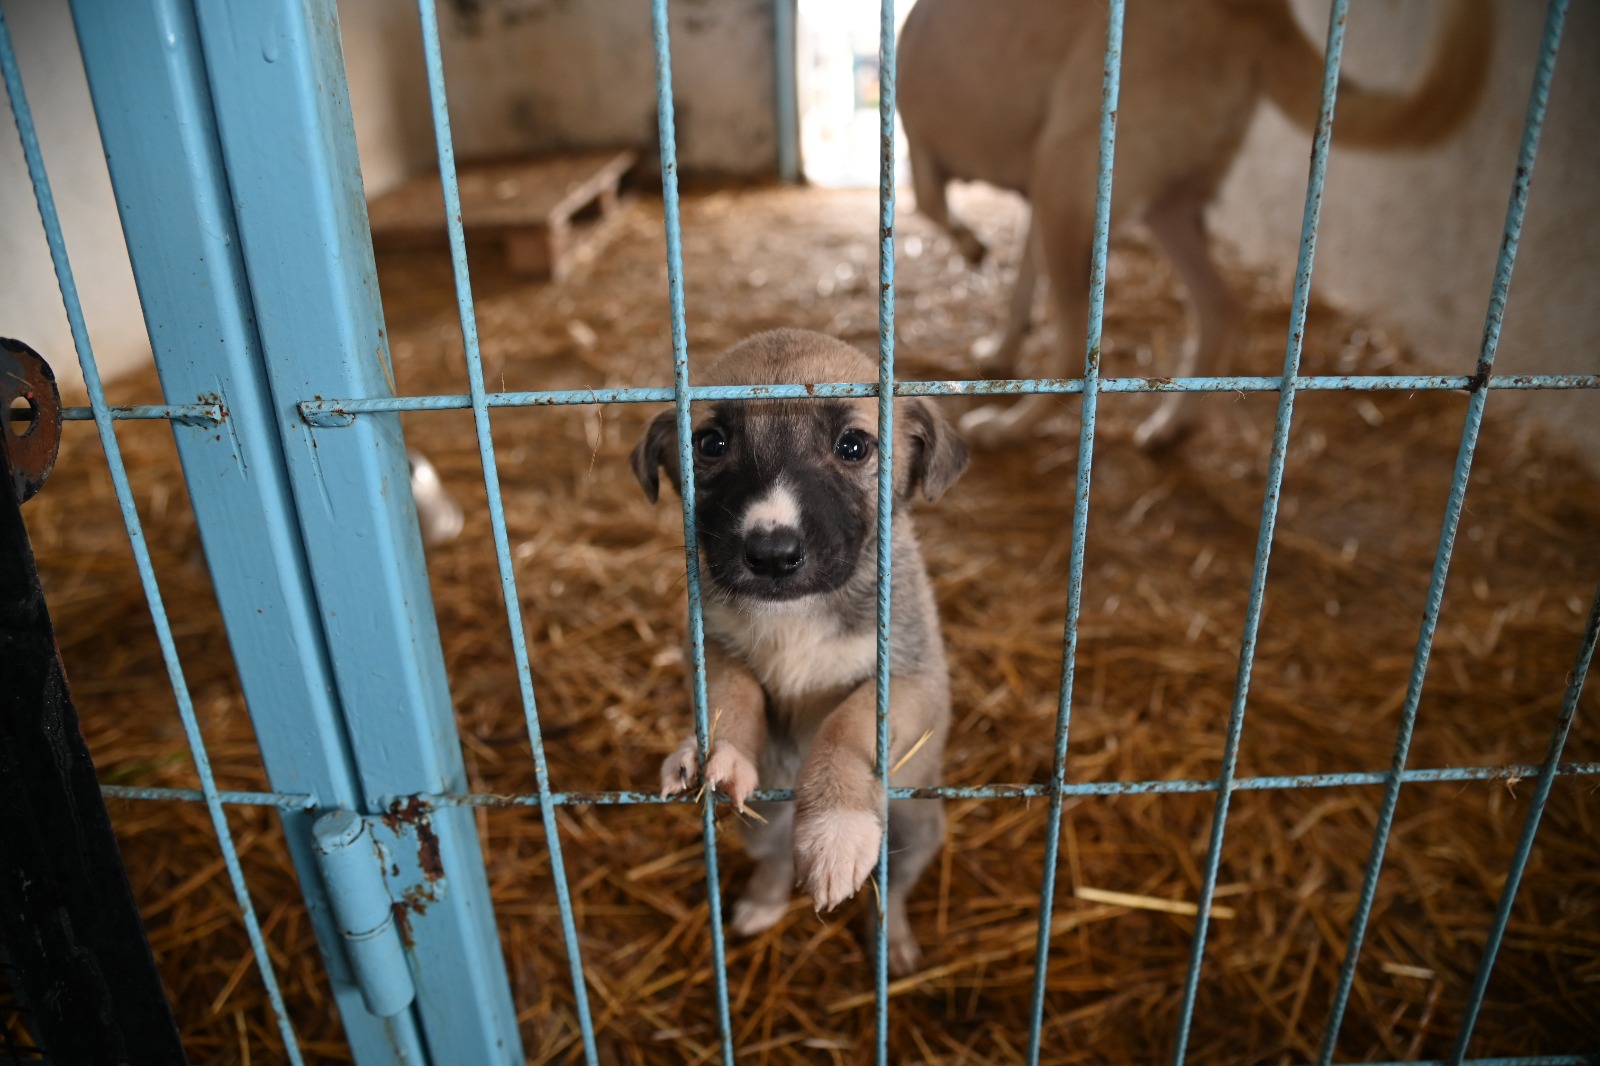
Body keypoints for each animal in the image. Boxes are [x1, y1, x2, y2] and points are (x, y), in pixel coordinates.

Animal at [630, 326, 966, 973]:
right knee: (774, 858)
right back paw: (762, 903)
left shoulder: (915, 679)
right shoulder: (713, 650)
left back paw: (894, 943)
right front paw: (718, 755)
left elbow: (846, 723)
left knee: (895, 887)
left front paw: (835, 828)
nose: (771, 554)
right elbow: (733, 698)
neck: (797, 612)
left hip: (916, 828)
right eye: (710, 443)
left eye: (854, 446)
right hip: (761, 822)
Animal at [896, 0, 1491, 444]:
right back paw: (1173, 425)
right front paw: (1002, 348)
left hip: (1068, 181)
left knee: (1079, 358)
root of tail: (1259, 11)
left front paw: (971, 246)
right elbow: (1021, 282)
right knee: (1221, 305)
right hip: (1157, 205)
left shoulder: (927, 150)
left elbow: (931, 205)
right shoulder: (1035, 201)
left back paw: (1010, 427)